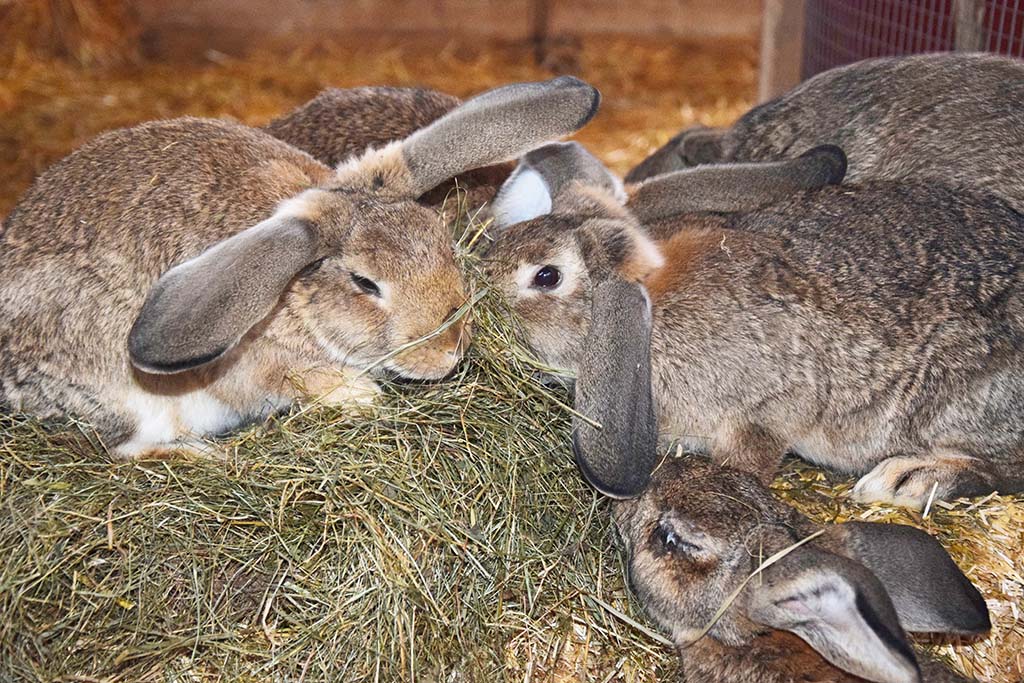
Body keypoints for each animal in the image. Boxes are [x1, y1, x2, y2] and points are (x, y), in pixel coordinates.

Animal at [483, 140, 1024, 508]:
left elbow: (750, 456)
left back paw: (908, 479)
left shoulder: (770, 406)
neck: (657, 305)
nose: (480, 283)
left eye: (546, 276)